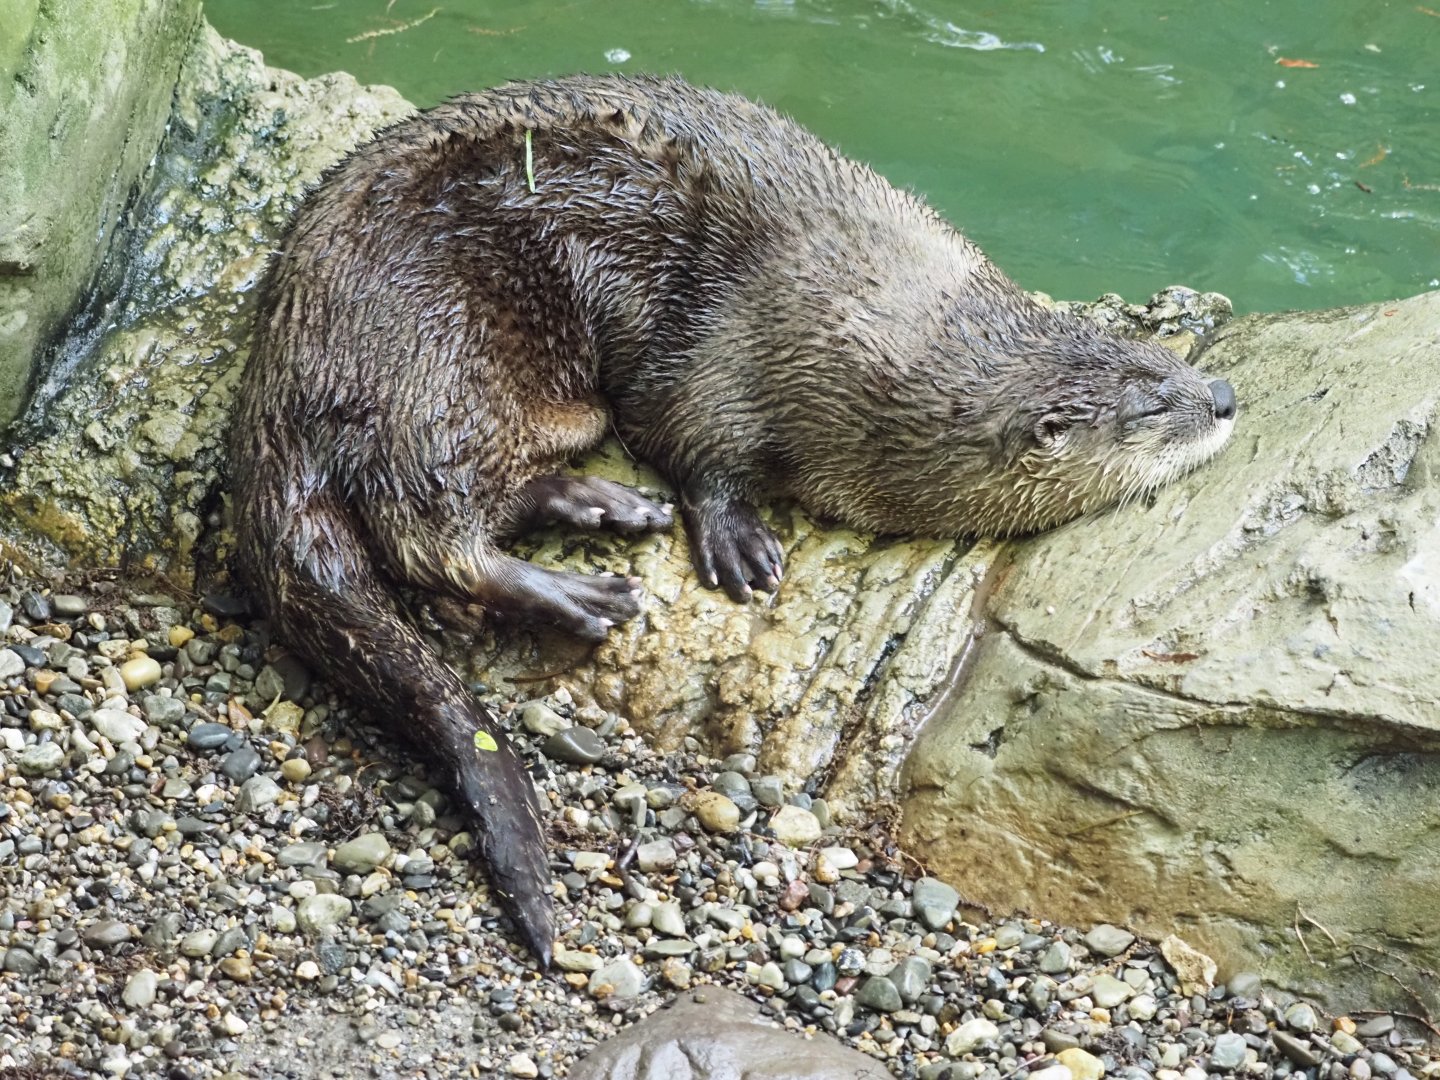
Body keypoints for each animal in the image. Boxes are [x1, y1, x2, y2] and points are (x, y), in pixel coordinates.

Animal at [229, 75, 1236, 966]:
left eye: (1167, 365)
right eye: (1151, 407)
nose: (1223, 397)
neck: (862, 325)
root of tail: (283, 365)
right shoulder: (729, 358)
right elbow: (693, 438)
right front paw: (737, 540)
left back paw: (603, 507)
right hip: (443, 357)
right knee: (429, 531)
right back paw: (586, 592)